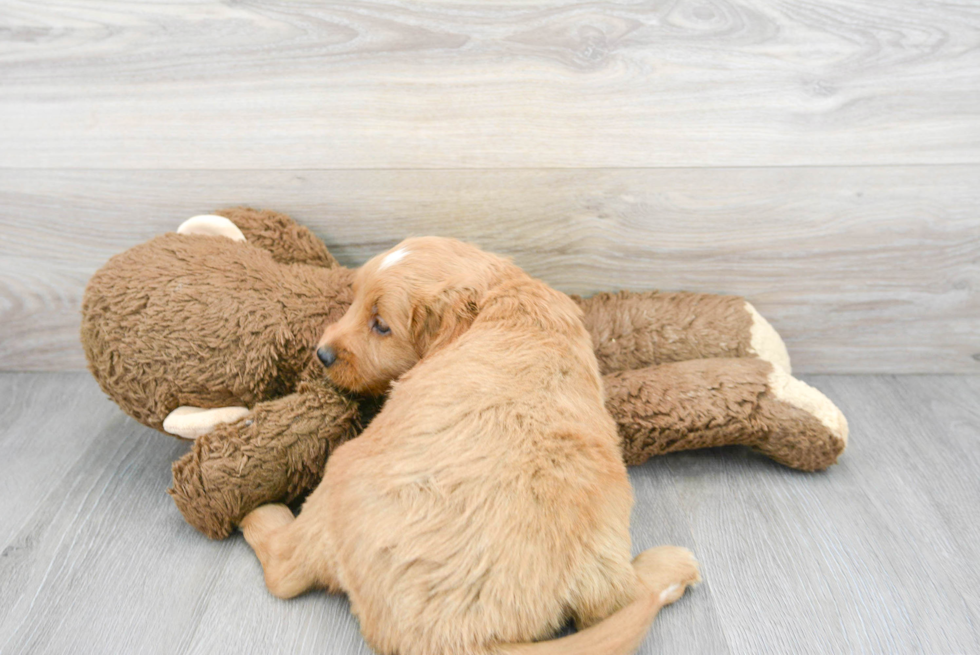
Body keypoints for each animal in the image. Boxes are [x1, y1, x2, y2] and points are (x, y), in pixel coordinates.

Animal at [239, 237, 696, 655]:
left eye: (381, 325)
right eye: (354, 302)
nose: (322, 354)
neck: (498, 293)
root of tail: (460, 637)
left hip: (342, 473)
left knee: (284, 567)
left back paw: (261, 515)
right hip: (606, 565)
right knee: (623, 601)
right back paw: (674, 569)